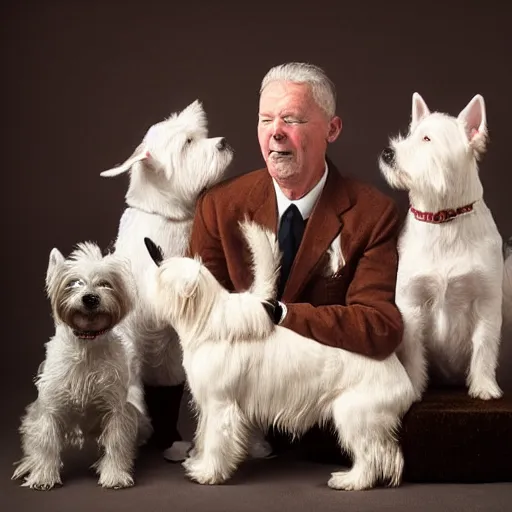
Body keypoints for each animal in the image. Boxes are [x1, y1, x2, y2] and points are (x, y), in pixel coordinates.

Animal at [12, 242, 150, 490]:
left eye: (106, 283)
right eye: (73, 283)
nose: (90, 298)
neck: (86, 343)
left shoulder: (116, 408)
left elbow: (116, 442)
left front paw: (114, 475)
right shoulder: (50, 408)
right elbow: (45, 442)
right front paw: (43, 475)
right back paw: (28, 465)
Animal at [99, 100, 234, 460]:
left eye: (199, 135)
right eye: (187, 144)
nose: (223, 142)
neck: (169, 218)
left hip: (167, 364)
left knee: (166, 393)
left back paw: (170, 441)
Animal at [143, 220, 416, 492]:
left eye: (160, 278)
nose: (145, 291)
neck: (207, 322)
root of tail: (401, 375)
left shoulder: (220, 405)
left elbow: (214, 442)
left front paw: (208, 473)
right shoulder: (208, 406)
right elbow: (203, 436)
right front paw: (198, 463)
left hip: (355, 417)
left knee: (371, 457)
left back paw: (350, 480)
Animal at [380, 94, 504, 402]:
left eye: (427, 139)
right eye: (410, 134)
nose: (388, 153)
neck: (443, 219)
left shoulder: (486, 301)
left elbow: (484, 345)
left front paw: (484, 387)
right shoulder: (411, 303)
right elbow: (412, 350)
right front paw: (413, 388)